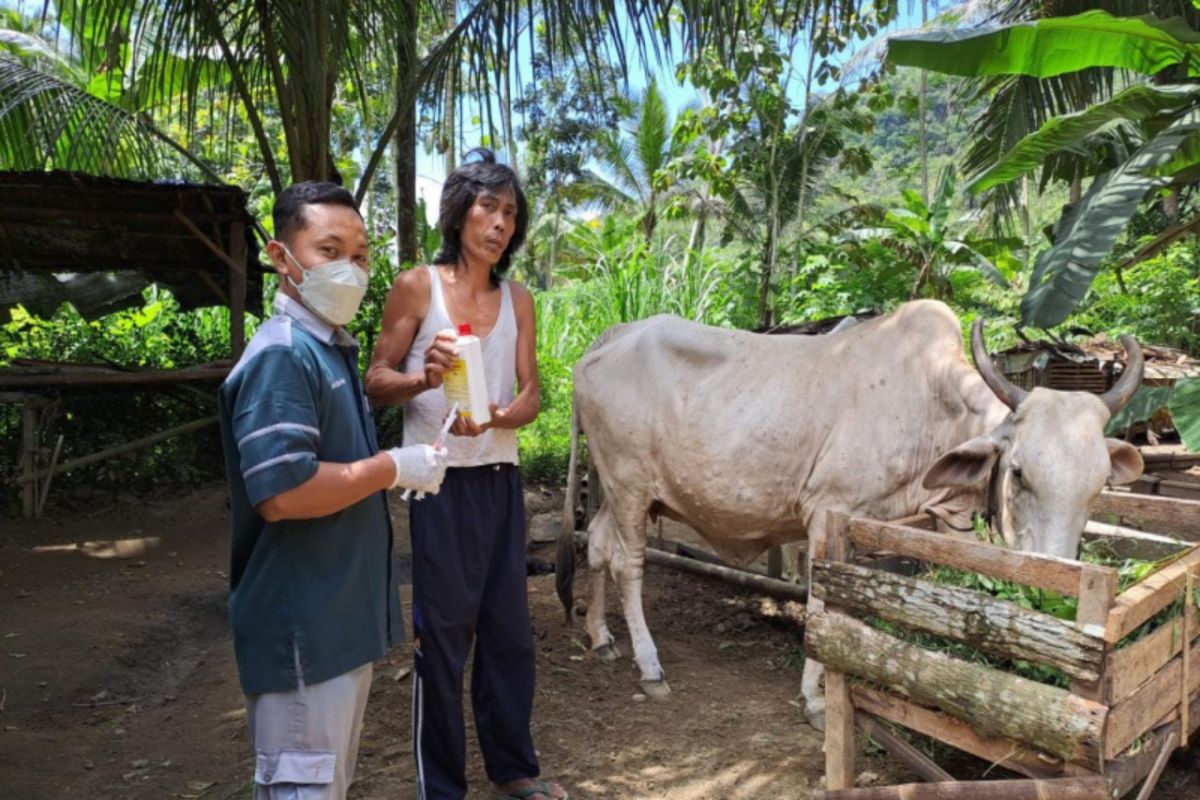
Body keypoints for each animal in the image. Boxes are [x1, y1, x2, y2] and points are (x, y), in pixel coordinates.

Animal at [554, 299, 1142, 734]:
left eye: (1098, 484)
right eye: (1018, 472)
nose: (1055, 587)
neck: (929, 399)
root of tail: (608, 340)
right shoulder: (827, 512)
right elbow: (822, 601)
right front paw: (815, 701)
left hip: (617, 489)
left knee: (598, 545)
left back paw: (600, 636)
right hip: (630, 486)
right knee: (628, 564)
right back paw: (648, 665)